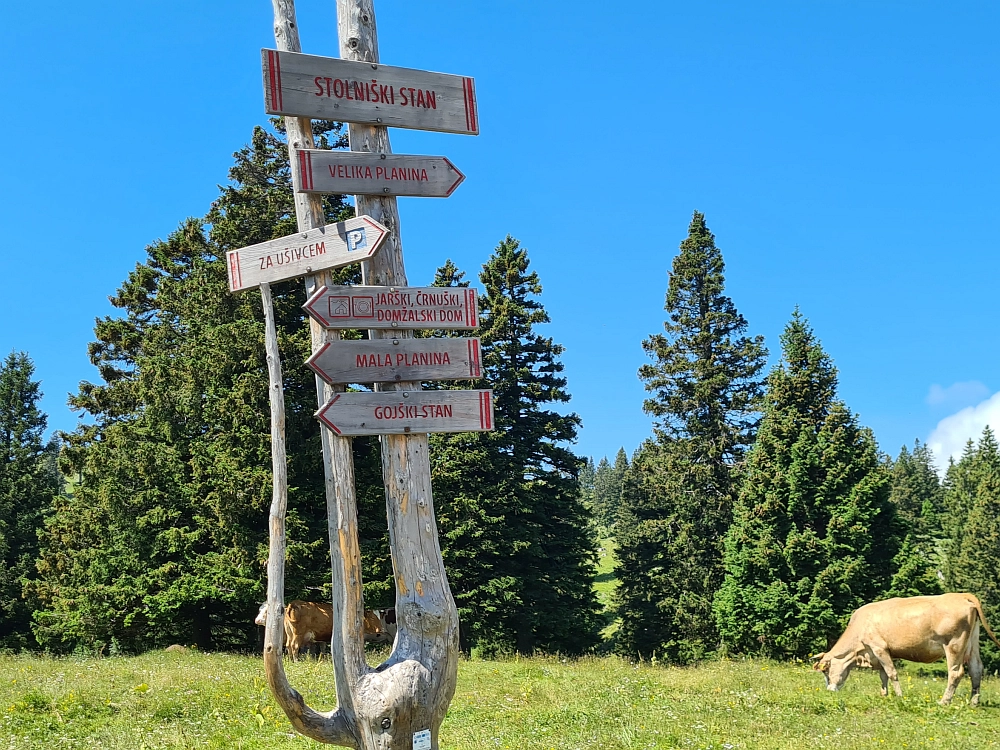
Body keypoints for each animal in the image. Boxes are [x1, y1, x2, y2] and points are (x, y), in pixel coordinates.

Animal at [812, 592, 1000, 704]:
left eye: (826, 671)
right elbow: (883, 675)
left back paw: (944, 701)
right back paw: (973, 702)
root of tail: (962, 595)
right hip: (972, 644)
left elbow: (891, 673)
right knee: (976, 669)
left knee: (956, 673)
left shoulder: (879, 647)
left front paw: (899, 696)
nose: (829, 690)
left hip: (954, 645)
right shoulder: (884, 653)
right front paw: (884, 694)